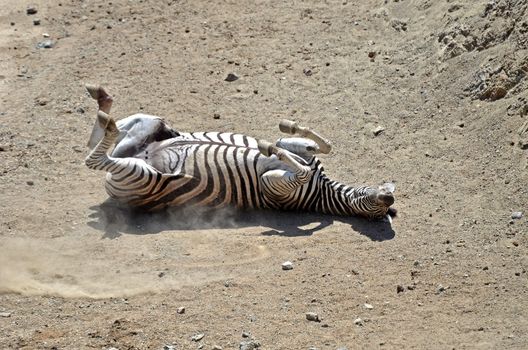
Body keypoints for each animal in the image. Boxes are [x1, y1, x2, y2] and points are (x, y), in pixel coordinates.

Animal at [83, 85, 396, 221]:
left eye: (379, 211)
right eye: (383, 197)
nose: (389, 197)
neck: (324, 193)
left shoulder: (274, 188)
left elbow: (303, 168)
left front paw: (268, 147)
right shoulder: (300, 157)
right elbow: (319, 146)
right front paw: (285, 128)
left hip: (143, 175)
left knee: (95, 157)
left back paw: (105, 114)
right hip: (144, 129)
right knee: (106, 139)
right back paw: (103, 102)